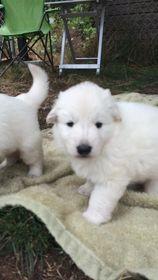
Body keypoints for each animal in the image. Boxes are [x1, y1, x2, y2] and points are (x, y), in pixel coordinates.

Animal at [47, 81, 158, 225]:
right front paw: (86, 188)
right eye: (70, 124)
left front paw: (92, 218)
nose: (83, 149)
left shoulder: (111, 178)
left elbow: (100, 199)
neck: (108, 140)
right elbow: (91, 179)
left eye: (98, 124)